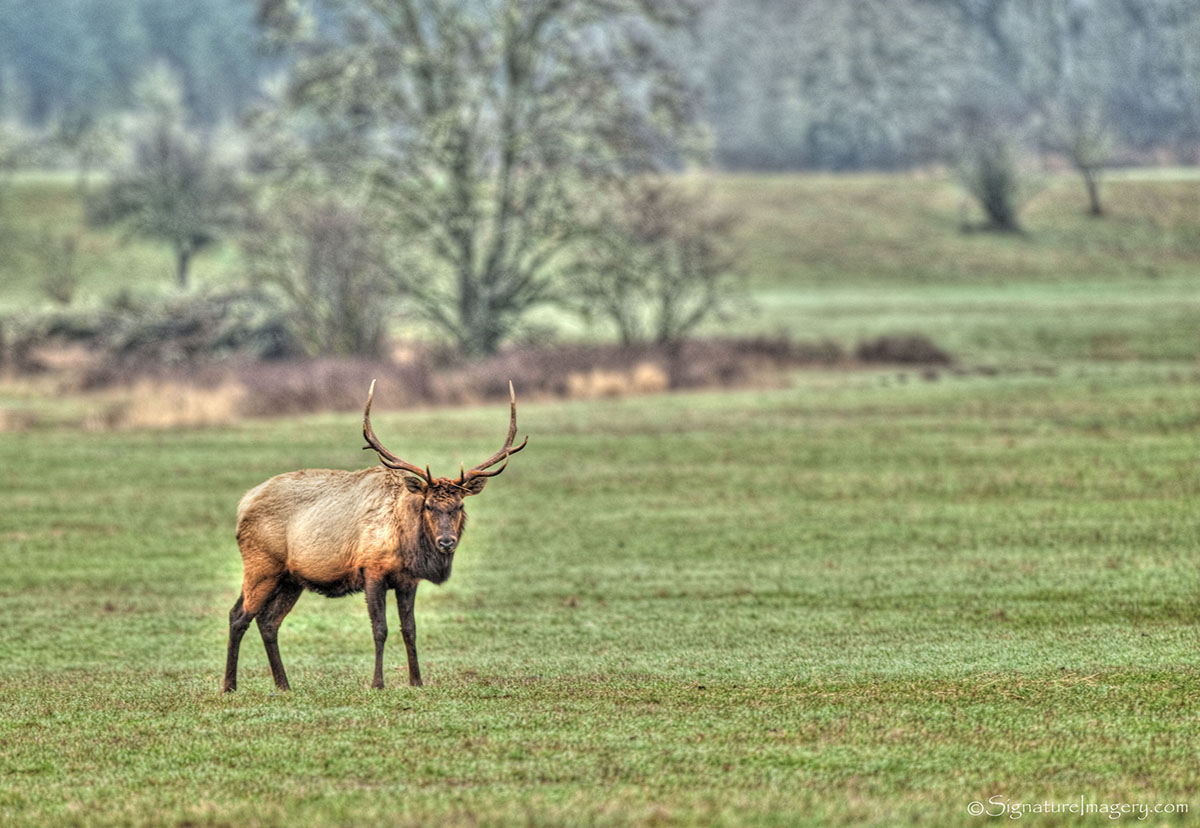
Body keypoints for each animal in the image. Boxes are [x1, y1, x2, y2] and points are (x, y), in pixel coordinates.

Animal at [223, 380, 527, 692]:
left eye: (460, 506)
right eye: (428, 505)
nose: (446, 542)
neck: (406, 544)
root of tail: (244, 502)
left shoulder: (407, 580)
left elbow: (410, 629)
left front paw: (416, 681)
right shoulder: (372, 570)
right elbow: (380, 629)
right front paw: (377, 682)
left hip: (290, 578)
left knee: (268, 622)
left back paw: (283, 684)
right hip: (261, 565)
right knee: (238, 616)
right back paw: (230, 685)